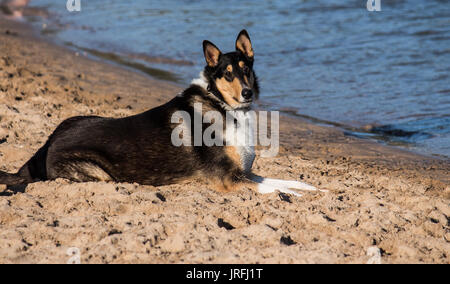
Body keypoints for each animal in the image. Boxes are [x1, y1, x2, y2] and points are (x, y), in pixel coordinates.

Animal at [0, 30, 324, 196]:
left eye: (246, 70)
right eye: (228, 74)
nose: (247, 93)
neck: (222, 105)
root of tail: (45, 146)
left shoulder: (243, 171)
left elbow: (286, 182)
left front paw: (313, 189)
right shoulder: (229, 178)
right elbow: (273, 188)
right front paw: (294, 196)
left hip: (76, 117)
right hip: (98, 175)